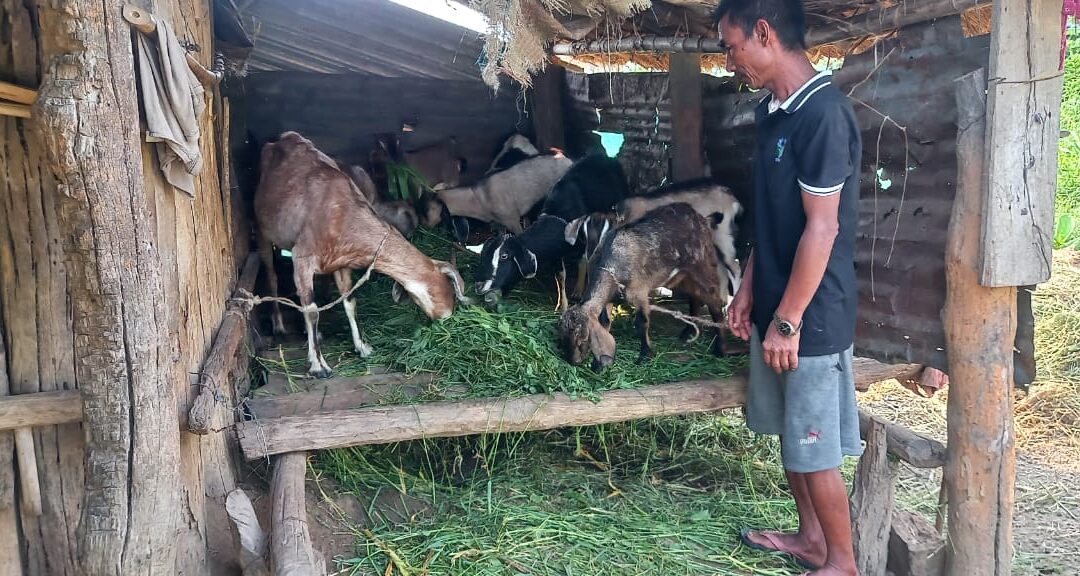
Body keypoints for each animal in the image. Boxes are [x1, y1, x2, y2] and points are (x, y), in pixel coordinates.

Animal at [254, 131, 470, 378]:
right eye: (448, 286)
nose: (446, 315)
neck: (345, 217)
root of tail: (283, 138)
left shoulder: (341, 263)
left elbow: (350, 302)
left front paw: (362, 347)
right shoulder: (302, 258)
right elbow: (312, 311)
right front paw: (319, 365)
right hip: (263, 231)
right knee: (272, 276)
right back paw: (279, 326)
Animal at [558, 203, 730, 371]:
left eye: (583, 338)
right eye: (563, 339)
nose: (574, 361)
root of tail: (703, 219)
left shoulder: (639, 292)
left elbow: (642, 322)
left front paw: (646, 355)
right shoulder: (609, 298)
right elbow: (605, 321)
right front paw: (601, 362)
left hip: (704, 266)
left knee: (714, 300)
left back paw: (720, 349)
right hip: (683, 277)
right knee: (694, 297)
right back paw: (688, 332)